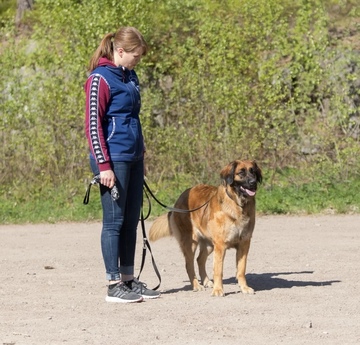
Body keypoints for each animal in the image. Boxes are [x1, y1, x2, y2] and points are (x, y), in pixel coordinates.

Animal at [148, 159, 262, 296]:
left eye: (253, 172)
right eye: (241, 173)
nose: (253, 183)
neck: (238, 204)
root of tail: (180, 198)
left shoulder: (244, 244)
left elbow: (241, 269)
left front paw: (244, 287)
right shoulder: (220, 246)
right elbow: (218, 270)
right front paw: (218, 290)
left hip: (209, 245)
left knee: (199, 260)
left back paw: (206, 281)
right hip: (191, 243)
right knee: (189, 264)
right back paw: (196, 285)